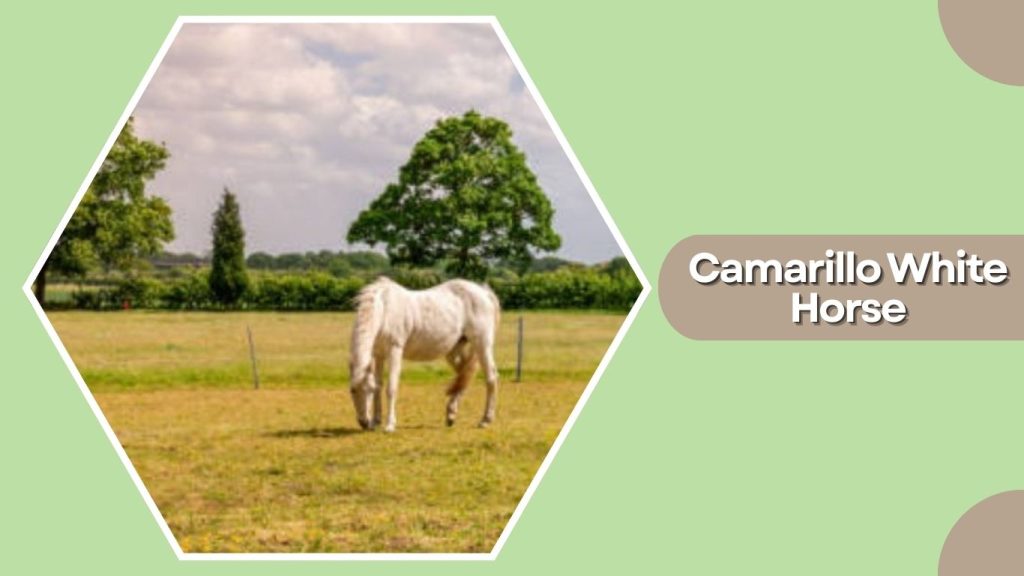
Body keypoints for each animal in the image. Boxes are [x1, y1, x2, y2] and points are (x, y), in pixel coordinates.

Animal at [348, 277, 501, 432]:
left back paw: (485, 420)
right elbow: (379, 385)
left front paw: (390, 425)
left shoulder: (395, 350)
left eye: (369, 391)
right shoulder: (378, 354)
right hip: (454, 352)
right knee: (463, 376)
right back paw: (451, 415)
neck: (384, 308)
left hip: (482, 345)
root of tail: (483, 292)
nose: (364, 423)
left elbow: (391, 387)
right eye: (352, 391)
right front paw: (376, 421)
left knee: (491, 377)